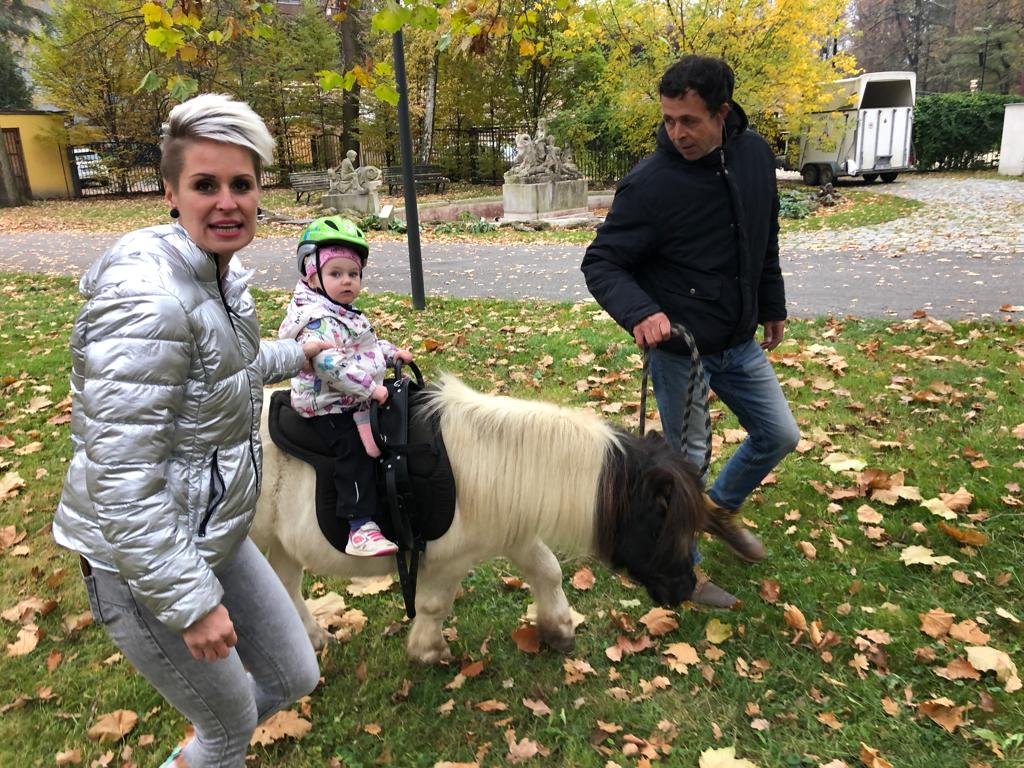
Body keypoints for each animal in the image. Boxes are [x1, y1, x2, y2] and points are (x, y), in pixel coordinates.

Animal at [251, 374, 706, 665]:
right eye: (662, 523)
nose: (685, 588)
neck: (492, 461)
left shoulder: (516, 534)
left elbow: (548, 571)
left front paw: (558, 630)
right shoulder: (449, 559)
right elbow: (434, 604)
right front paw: (428, 651)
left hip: (283, 545)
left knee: (285, 587)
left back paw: (314, 640)